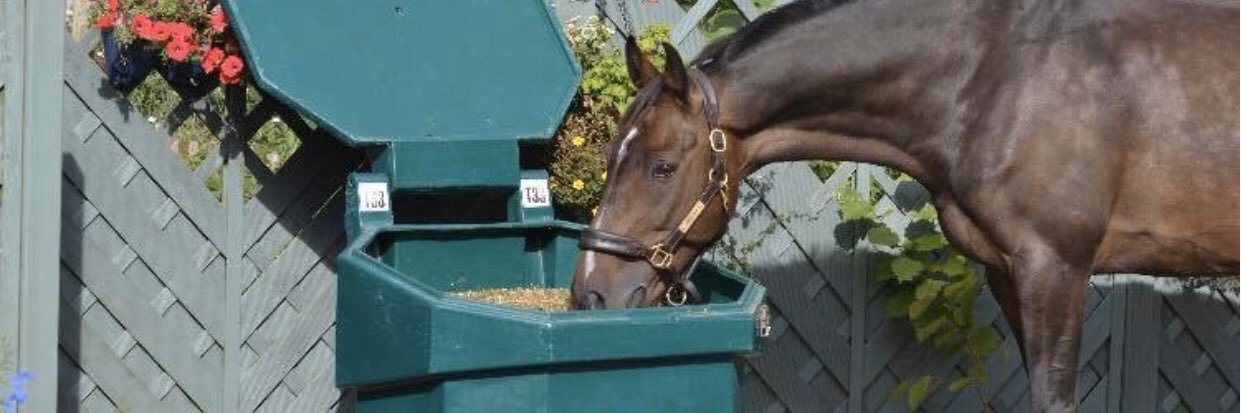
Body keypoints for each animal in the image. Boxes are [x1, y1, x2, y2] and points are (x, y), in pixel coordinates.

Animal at [569, 0, 1239, 411]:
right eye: (612, 152)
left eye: (661, 166)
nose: (591, 293)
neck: (1003, 76)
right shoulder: (1007, 273)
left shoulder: (1056, 270)